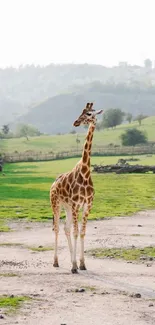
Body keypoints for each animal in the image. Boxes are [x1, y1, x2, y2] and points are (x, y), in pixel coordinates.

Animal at [50, 102, 103, 272]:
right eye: (82, 112)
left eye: (89, 114)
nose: (76, 122)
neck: (85, 173)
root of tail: (53, 183)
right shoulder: (75, 205)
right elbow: (76, 232)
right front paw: (74, 266)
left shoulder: (87, 206)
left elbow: (82, 232)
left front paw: (81, 264)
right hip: (56, 204)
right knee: (57, 228)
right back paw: (56, 262)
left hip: (66, 207)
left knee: (66, 228)